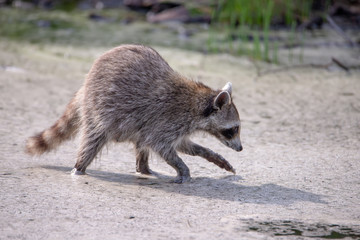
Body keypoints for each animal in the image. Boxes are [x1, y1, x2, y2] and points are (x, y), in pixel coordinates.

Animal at [26, 45, 243, 183]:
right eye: (233, 129)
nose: (240, 148)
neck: (198, 103)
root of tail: (85, 84)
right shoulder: (168, 120)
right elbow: (162, 147)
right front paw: (182, 168)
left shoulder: (177, 127)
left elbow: (183, 145)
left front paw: (209, 154)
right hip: (98, 109)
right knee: (92, 140)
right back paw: (78, 168)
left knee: (141, 142)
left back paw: (143, 168)